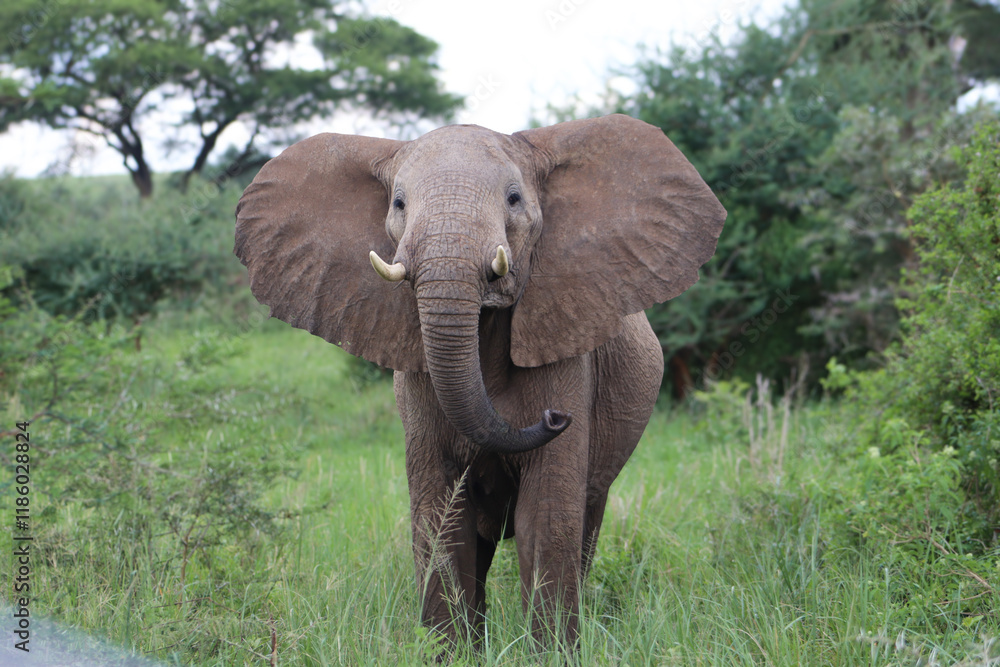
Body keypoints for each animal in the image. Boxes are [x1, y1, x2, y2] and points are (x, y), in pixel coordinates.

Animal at [234, 114, 726, 647]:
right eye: (399, 203)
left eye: (513, 198)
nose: (557, 418)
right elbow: (441, 518)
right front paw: (445, 651)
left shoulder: (569, 353)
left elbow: (546, 516)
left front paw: (552, 652)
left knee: (586, 522)